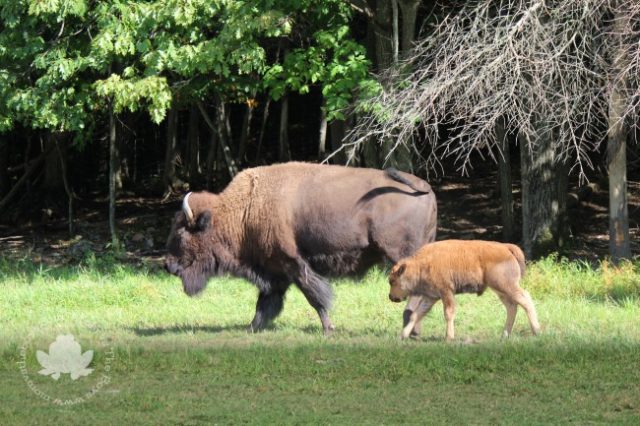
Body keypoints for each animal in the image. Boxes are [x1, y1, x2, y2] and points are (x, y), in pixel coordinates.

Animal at [164, 161, 436, 334]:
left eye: (180, 233)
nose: (168, 265)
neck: (244, 210)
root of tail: (426, 189)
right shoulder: (274, 271)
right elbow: (265, 302)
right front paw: (252, 327)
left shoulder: (292, 264)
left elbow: (314, 296)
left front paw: (328, 329)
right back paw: (414, 330)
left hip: (400, 255)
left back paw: (409, 328)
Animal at [390, 241, 540, 342]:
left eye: (393, 281)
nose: (391, 297)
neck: (421, 264)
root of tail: (506, 248)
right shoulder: (431, 297)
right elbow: (416, 315)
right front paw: (402, 336)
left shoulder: (446, 292)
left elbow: (448, 313)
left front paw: (448, 338)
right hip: (500, 290)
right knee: (512, 306)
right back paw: (504, 335)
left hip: (506, 286)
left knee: (525, 299)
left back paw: (537, 331)